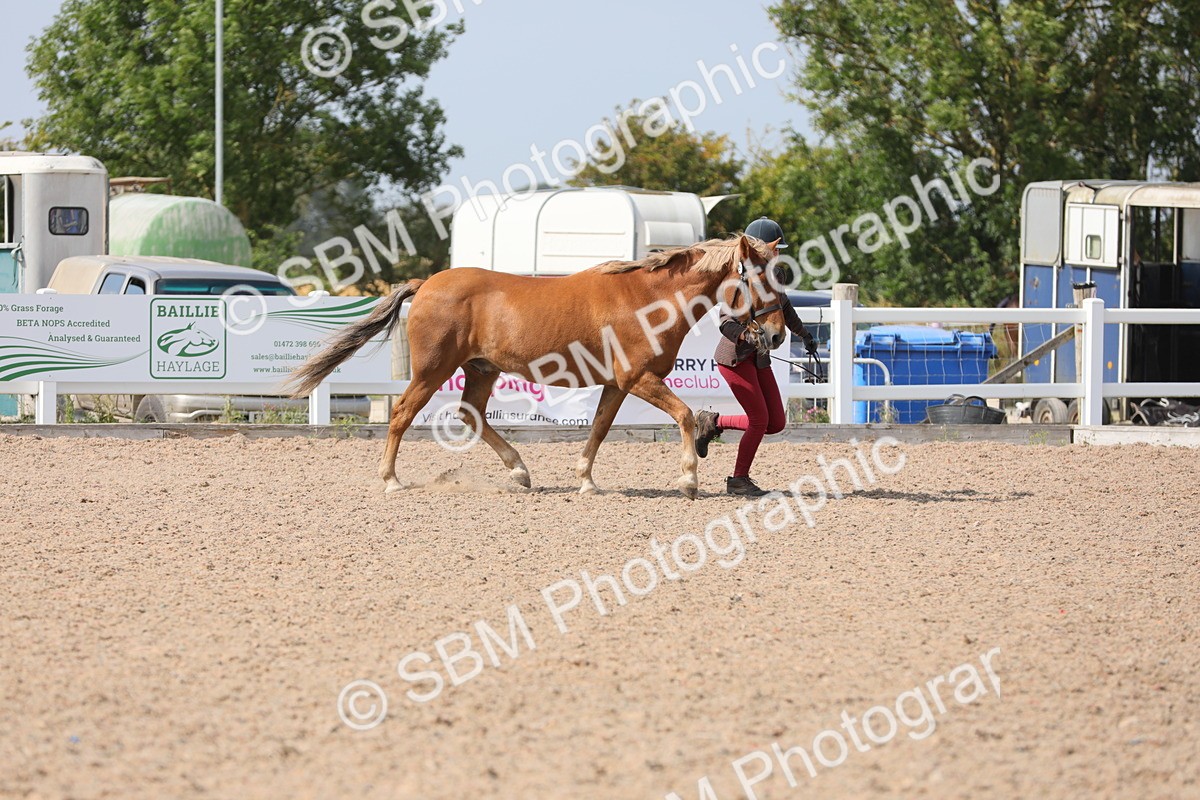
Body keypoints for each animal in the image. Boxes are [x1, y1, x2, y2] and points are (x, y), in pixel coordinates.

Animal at [286, 234, 787, 498]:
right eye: (758, 277)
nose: (778, 334)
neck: (647, 300)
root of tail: (425, 283)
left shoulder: (617, 385)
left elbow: (599, 429)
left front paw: (586, 481)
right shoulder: (638, 379)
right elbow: (683, 415)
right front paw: (688, 479)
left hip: (481, 369)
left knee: (471, 414)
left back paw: (520, 472)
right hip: (431, 371)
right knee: (402, 413)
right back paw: (391, 481)